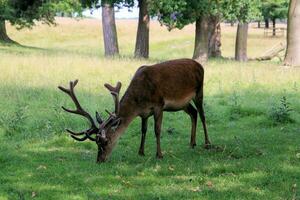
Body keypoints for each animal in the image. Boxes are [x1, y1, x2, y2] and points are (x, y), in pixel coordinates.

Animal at [58, 57, 211, 162]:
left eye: (105, 142)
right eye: (96, 143)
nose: (99, 160)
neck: (139, 100)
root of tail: (200, 65)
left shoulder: (159, 105)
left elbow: (157, 130)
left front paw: (159, 154)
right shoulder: (144, 113)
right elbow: (143, 130)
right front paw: (141, 152)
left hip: (199, 91)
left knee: (202, 115)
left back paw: (207, 144)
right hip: (183, 103)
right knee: (194, 113)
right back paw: (192, 143)